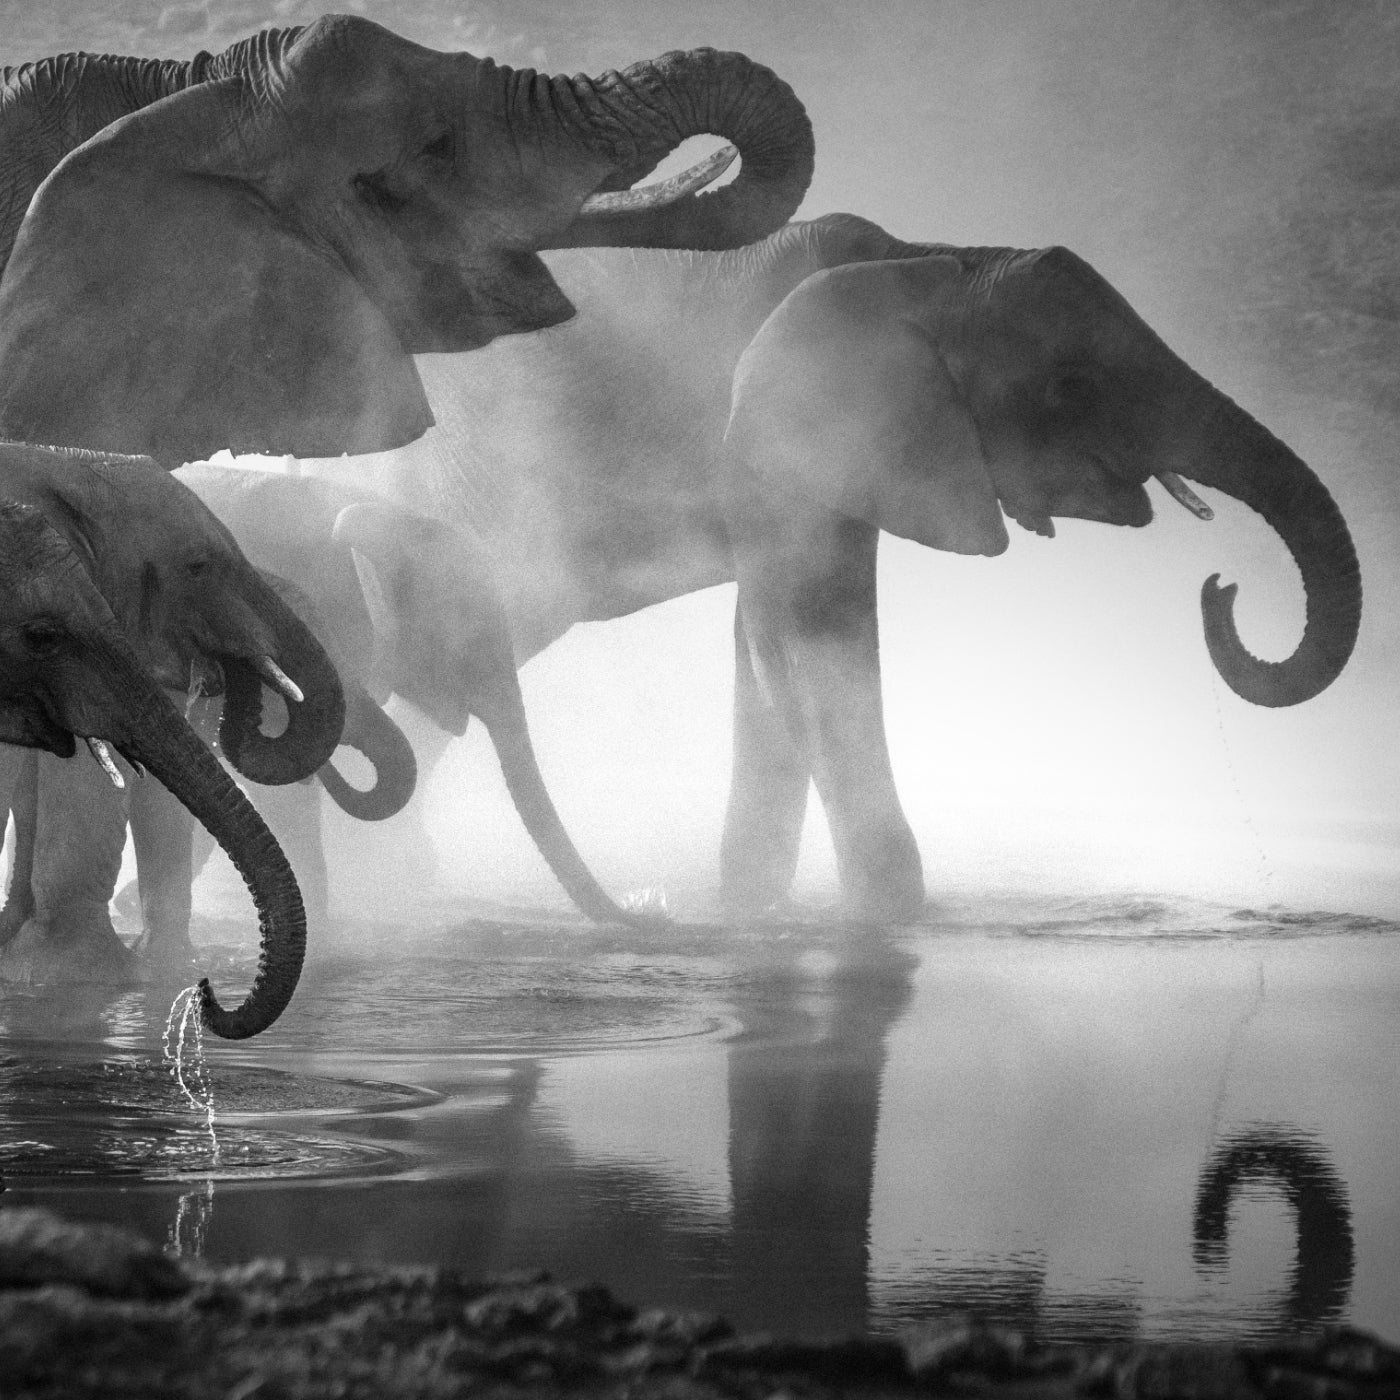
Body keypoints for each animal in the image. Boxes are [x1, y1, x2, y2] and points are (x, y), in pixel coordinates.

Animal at [314, 212, 1360, 920]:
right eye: (1070, 386)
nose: (1220, 589)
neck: (932, 259)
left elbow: (769, 647)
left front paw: (752, 915)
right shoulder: (788, 429)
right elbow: (813, 643)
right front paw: (886, 922)